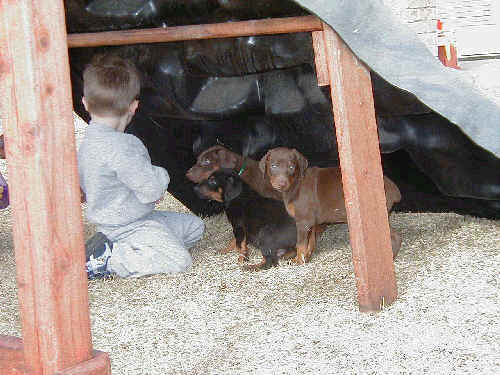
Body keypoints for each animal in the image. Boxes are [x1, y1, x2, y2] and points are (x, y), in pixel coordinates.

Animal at [258, 147, 402, 264]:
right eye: (273, 166)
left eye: (291, 167)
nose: (281, 184)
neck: (296, 183)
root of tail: (393, 187)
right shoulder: (311, 223)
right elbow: (311, 242)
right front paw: (307, 257)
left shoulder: (303, 221)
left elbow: (301, 244)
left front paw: (298, 260)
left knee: (395, 236)